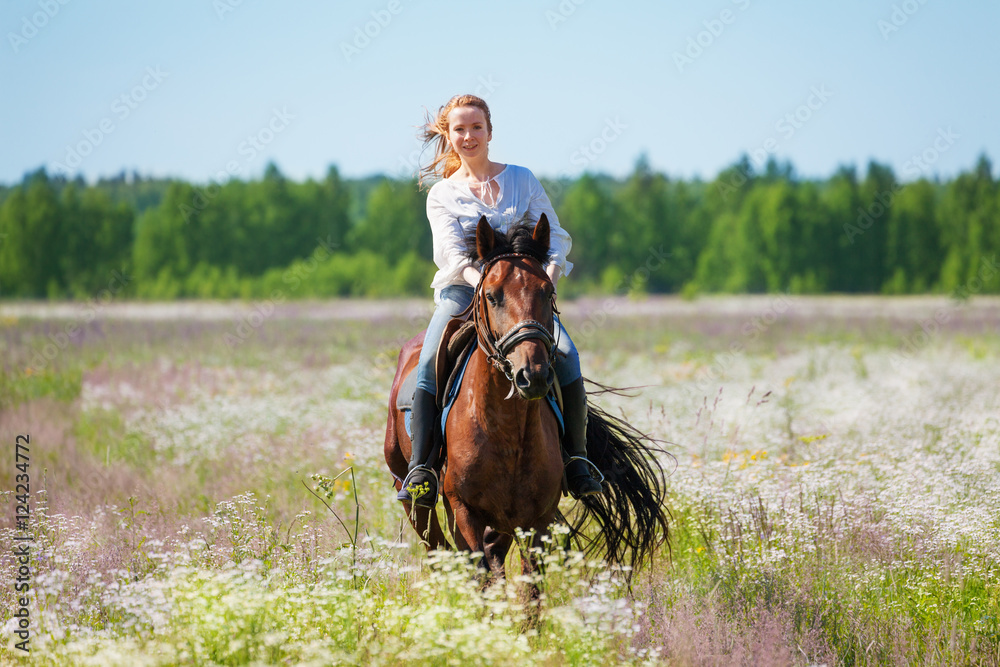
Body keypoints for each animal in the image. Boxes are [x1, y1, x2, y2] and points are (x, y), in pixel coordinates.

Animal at [384, 215, 672, 588]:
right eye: (492, 295)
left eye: (548, 291)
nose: (531, 374)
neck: (505, 429)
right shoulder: (463, 512)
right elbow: (480, 576)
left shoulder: (537, 519)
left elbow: (529, 588)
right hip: (413, 498)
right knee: (438, 549)